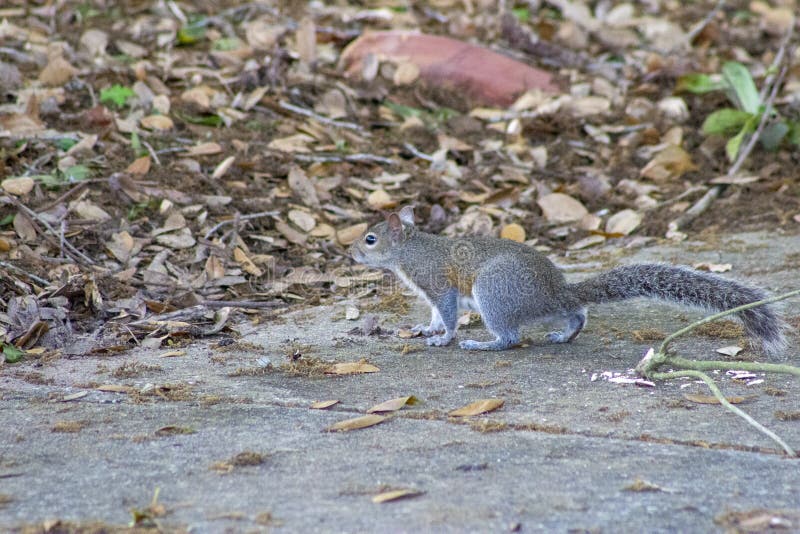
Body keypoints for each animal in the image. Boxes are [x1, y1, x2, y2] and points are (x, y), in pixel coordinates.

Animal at [350, 206, 787, 357]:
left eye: (370, 239)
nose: (349, 252)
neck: (410, 250)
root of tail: (556, 290)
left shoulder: (438, 285)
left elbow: (449, 314)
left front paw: (445, 338)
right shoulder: (432, 294)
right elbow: (435, 314)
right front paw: (428, 329)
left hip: (493, 293)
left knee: (510, 337)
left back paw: (484, 344)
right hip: (550, 308)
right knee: (576, 313)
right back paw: (564, 335)